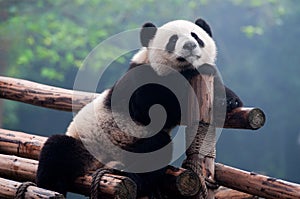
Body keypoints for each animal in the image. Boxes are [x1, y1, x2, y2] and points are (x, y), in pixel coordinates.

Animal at [36, 18, 243, 197]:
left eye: (196, 36)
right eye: (173, 40)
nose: (190, 46)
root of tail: (101, 163)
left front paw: (228, 100)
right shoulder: (140, 78)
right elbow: (152, 107)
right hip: (87, 143)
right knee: (57, 153)